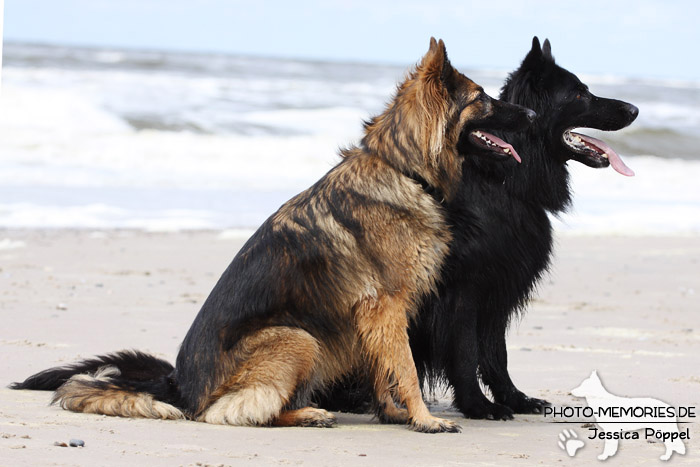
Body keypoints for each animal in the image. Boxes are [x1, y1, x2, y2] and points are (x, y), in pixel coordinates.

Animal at [320, 38, 636, 422]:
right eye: (579, 94)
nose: (634, 109)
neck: (500, 181)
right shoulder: (464, 291)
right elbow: (467, 352)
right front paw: (477, 404)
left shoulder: (497, 291)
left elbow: (497, 354)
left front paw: (514, 398)